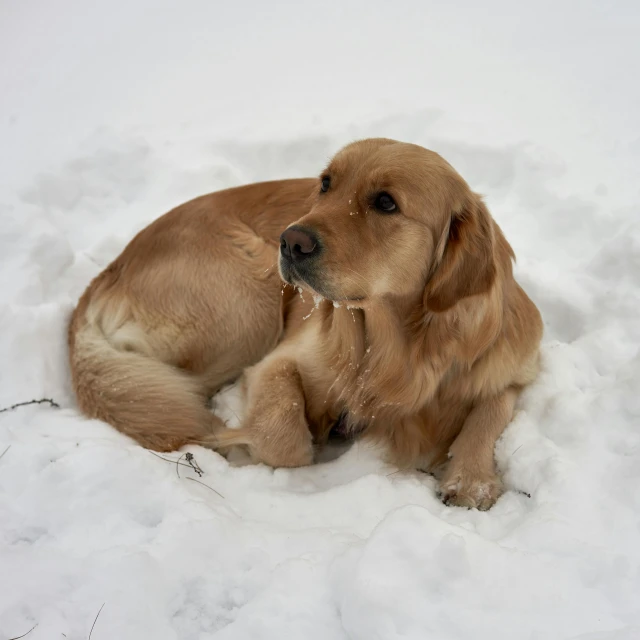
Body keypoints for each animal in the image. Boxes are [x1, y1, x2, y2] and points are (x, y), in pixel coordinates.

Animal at [69, 140, 540, 510]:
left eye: (386, 202)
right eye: (326, 184)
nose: (290, 241)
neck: (396, 350)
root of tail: (106, 274)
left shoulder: (511, 368)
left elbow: (490, 412)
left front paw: (472, 479)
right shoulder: (278, 363)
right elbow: (287, 442)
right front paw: (247, 445)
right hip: (253, 300)